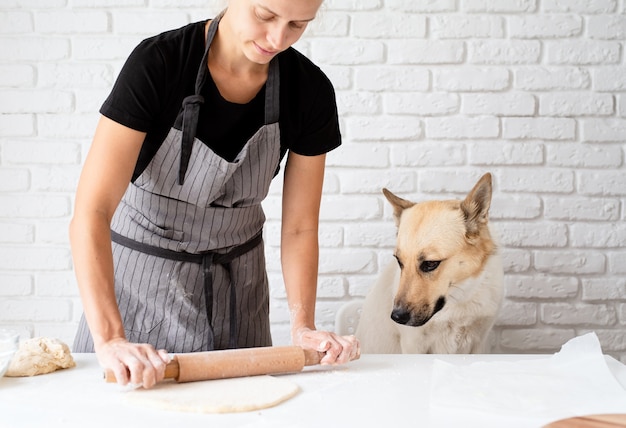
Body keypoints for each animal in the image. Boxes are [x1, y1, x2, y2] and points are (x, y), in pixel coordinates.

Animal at [354, 173, 504, 354]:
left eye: (430, 263)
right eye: (399, 261)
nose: (396, 317)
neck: (459, 297)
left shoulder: (479, 343)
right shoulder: (413, 345)